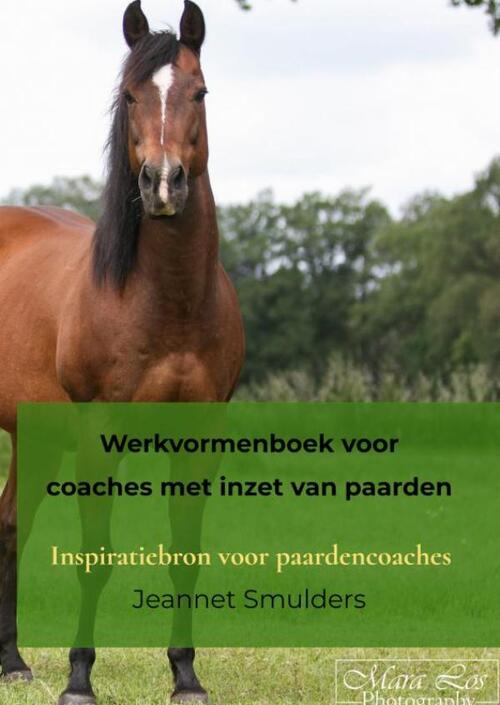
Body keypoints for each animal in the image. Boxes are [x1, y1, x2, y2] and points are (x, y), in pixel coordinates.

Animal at [0, 1, 244, 702]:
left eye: (200, 91)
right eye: (131, 95)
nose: (163, 184)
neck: (166, 302)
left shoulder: (199, 435)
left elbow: (185, 555)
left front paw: (186, 674)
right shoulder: (96, 435)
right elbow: (96, 555)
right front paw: (80, 677)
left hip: (34, 435)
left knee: (9, 525)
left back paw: (12, 661)